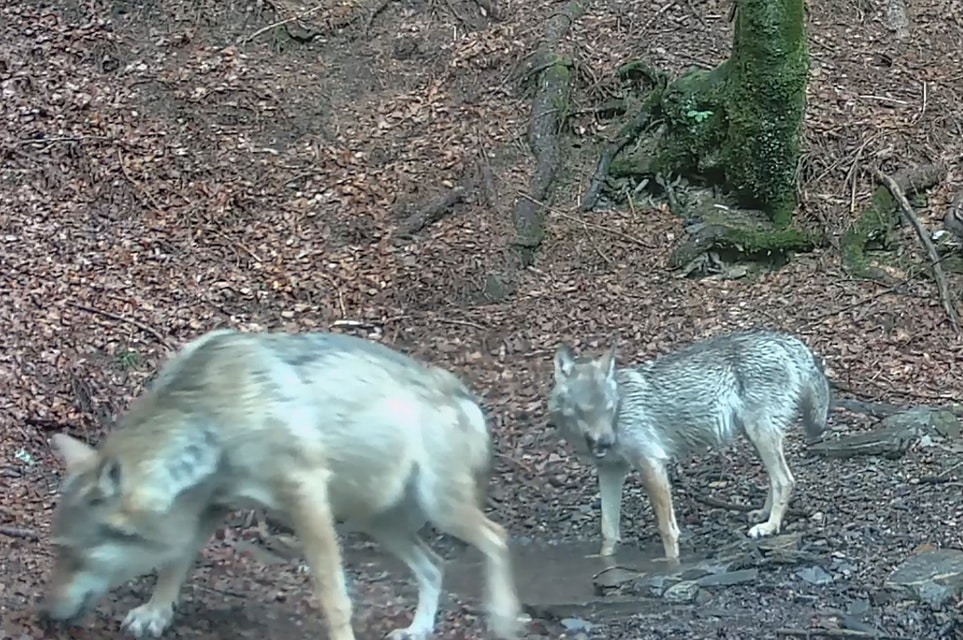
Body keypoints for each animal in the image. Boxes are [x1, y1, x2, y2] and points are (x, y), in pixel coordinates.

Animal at [38, 328, 522, 640]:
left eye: (74, 554)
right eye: (57, 551)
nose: (46, 614)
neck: (207, 417)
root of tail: (461, 394)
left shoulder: (305, 495)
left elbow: (333, 597)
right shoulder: (212, 506)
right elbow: (175, 562)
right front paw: (156, 614)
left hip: (439, 508)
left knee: (497, 537)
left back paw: (504, 617)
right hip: (378, 522)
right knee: (435, 566)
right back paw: (418, 630)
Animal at [547, 329, 831, 562]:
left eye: (609, 407)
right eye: (585, 411)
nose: (606, 441)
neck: (619, 416)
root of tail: (784, 340)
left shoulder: (651, 465)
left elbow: (667, 530)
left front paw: (672, 566)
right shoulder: (610, 471)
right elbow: (608, 531)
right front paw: (606, 561)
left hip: (760, 434)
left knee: (785, 480)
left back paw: (770, 526)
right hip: (756, 437)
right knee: (776, 479)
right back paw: (762, 514)